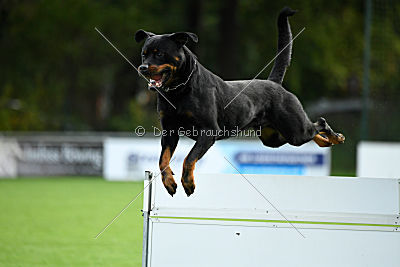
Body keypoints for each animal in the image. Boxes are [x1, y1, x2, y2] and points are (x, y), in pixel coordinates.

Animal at [136, 7, 346, 198]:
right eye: (144, 54)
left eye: (159, 54)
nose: (142, 67)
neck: (178, 90)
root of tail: (275, 83)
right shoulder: (169, 131)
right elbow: (163, 160)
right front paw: (169, 183)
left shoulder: (209, 131)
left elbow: (189, 158)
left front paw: (188, 183)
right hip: (274, 138)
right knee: (312, 131)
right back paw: (326, 142)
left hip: (294, 130)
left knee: (319, 124)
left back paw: (336, 137)